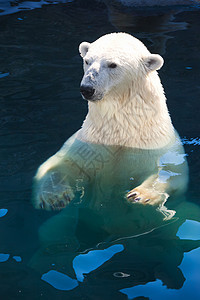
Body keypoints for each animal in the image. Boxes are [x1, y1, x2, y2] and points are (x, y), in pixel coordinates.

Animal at [32, 33, 188, 225]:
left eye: (113, 64)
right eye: (87, 61)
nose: (87, 88)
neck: (120, 133)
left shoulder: (159, 147)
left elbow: (173, 174)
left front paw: (141, 195)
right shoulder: (89, 144)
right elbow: (59, 163)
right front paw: (55, 197)